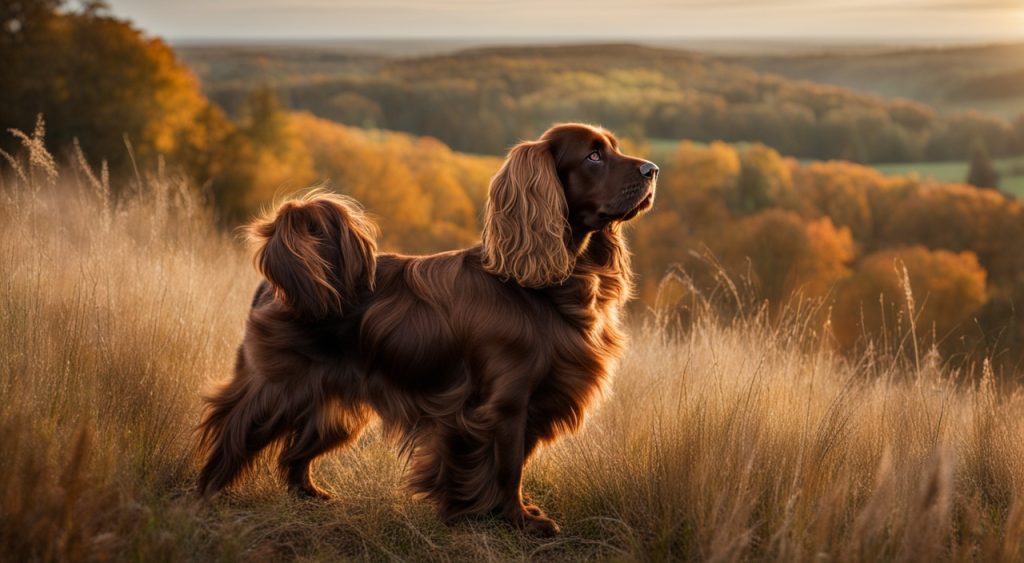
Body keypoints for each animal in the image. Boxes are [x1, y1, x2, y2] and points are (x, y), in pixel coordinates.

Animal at [196, 123, 659, 540]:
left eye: (613, 147)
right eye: (593, 156)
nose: (652, 169)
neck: (543, 289)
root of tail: (278, 284)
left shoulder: (528, 403)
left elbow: (517, 461)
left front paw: (502, 513)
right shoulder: (506, 403)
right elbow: (509, 466)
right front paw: (518, 521)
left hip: (334, 408)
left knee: (295, 452)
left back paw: (308, 493)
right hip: (278, 389)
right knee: (232, 430)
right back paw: (208, 496)